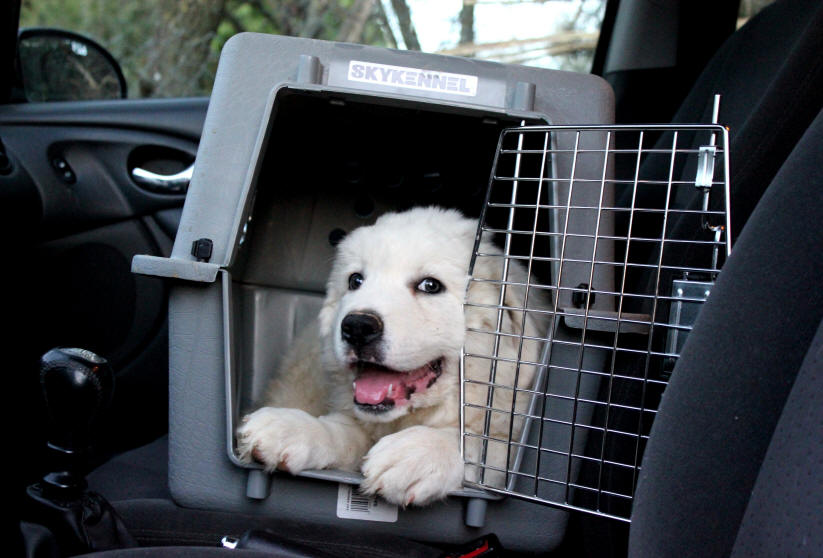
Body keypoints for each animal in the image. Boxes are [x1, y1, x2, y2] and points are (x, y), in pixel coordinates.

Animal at [238, 208, 548, 510]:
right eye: (355, 281)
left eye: (430, 285)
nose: (357, 327)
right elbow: (342, 429)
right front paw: (292, 428)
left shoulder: (508, 442)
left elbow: (480, 446)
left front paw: (418, 453)